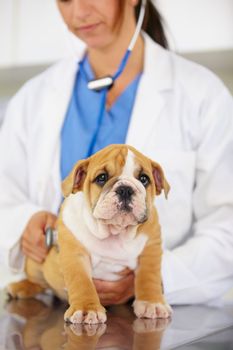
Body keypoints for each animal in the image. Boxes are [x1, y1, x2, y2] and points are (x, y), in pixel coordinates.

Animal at [7, 144, 172, 324]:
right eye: (102, 178)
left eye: (144, 179)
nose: (125, 189)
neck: (115, 231)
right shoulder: (75, 255)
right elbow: (82, 283)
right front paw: (86, 309)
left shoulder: (150, 251)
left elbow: (149, 279)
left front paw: (152, 303)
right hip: (35, 262)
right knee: (40, 282)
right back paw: (20, 287)